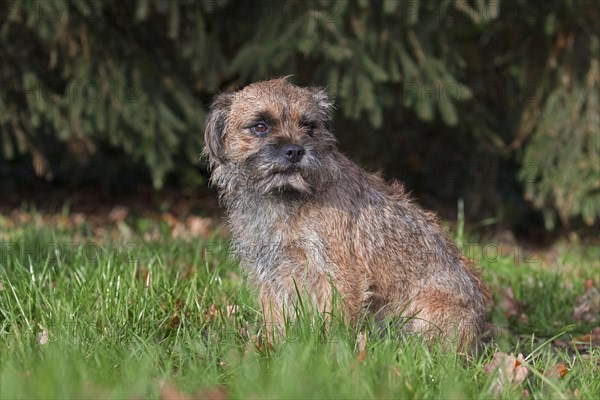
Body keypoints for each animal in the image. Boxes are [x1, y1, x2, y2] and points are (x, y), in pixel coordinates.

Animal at [204, 78, 490, 350]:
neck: (285, 198)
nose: (295, 150)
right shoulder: (271, 274)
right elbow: (276, 319)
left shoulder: (341, 275)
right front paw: (274, 351)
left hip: (423, 314)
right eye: (260, 126)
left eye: (309, 127)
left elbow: (335, 324)